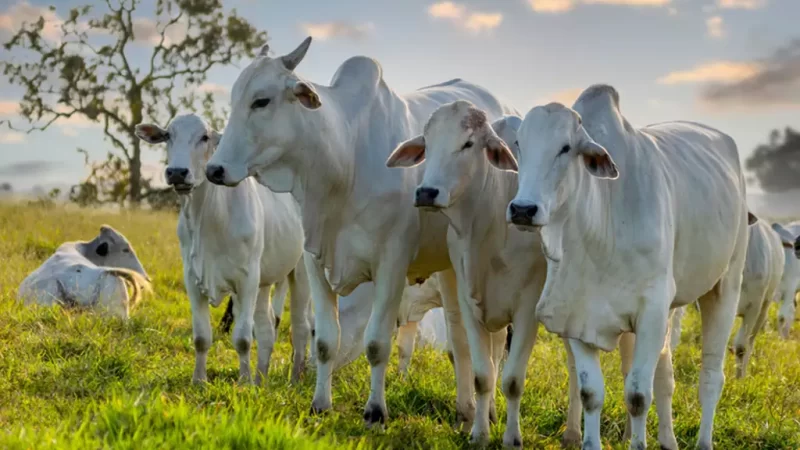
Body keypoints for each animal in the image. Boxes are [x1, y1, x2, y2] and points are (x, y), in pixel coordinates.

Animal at [136, 113, 310, 386]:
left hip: (300, 272)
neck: (208, 218)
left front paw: (244, 382)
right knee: (267, 328)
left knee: (301, 327)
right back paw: (261, 378)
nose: (177, 172)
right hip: (265, 280)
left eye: (205, 137)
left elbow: (242, 338)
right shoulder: (193, 279)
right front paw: (199, 380)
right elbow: (201, 337)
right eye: (168, 135)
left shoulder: (246, 279)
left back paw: (293, 378)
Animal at [200, 37, 516, 428]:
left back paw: (486, 414)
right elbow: (326, 341)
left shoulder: (392, 265)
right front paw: (320, 403)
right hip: (449, 268)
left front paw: (375, 411)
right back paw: (465, 409)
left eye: (262, 100)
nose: (214, 169)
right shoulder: (314, 262)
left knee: (493, 345)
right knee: (459, 338)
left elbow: (377, 343)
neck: (345, 157)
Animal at [504, 85, 752, 450]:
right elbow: (591, 393)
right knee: (664, 375)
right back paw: (668, 440)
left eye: (566, 147)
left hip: (725, 286)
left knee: (710, 377)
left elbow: (637, 397)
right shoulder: (575, 315)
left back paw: (704, 441)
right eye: (520, 143)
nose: (523, 209)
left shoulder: (650, 312)